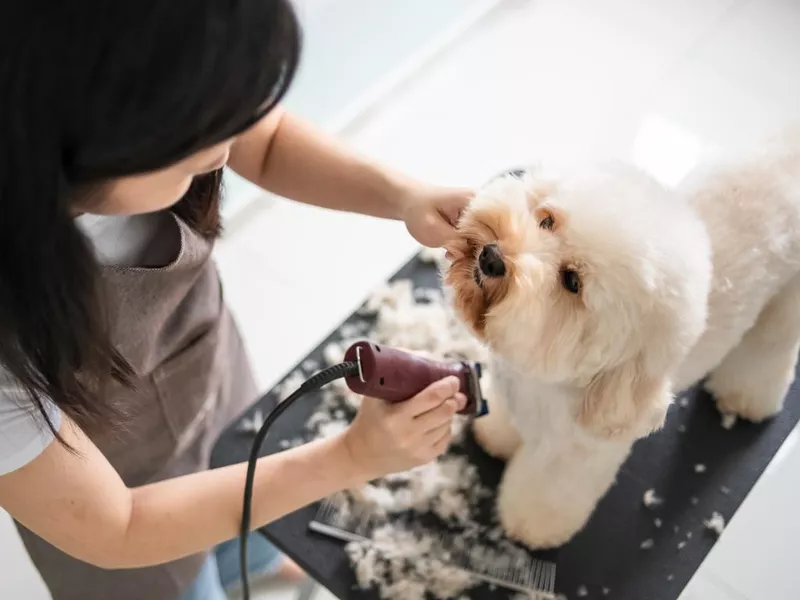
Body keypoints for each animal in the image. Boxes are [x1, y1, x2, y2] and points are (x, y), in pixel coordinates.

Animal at [444, 134, 800, 552]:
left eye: (572, 281)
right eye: (547, 220)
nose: (492, 258)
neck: (544, 383)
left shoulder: (573, 457)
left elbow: (548, 494)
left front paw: (530, 526)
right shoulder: (516, 395)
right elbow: (506, 423)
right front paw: (496, 436)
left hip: (784, 306)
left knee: (767, 350)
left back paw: (745, 399)